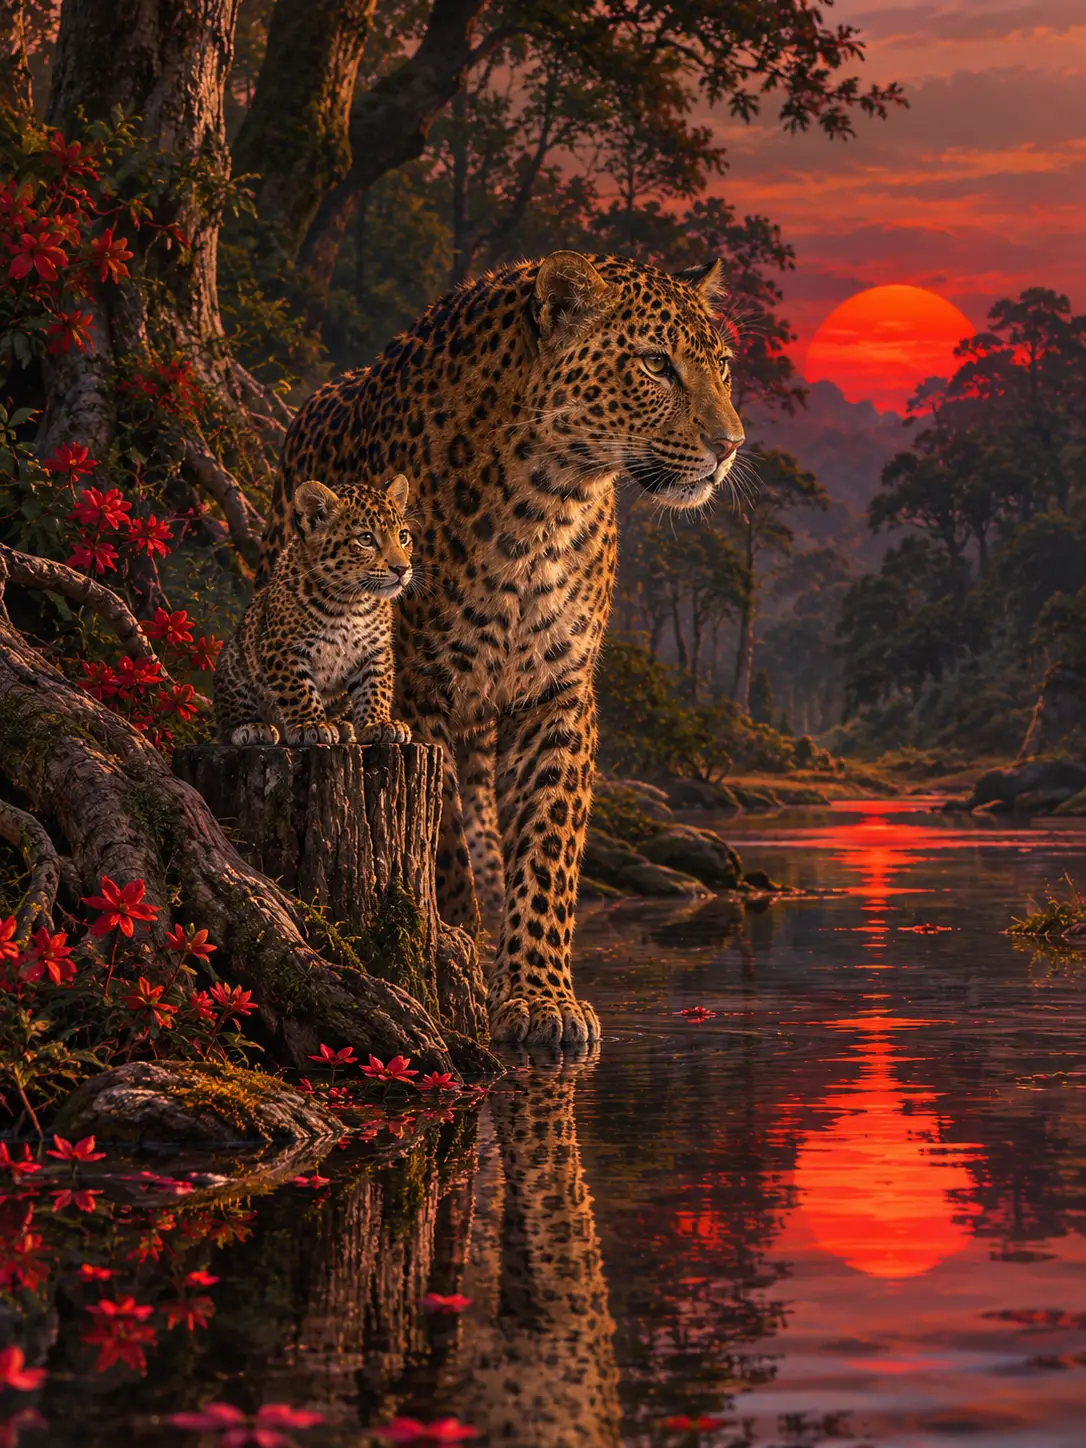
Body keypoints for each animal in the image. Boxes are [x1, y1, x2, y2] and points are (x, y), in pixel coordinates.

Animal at [216, 475, 414, 747]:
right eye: (365, 539)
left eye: (403, 536)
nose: (402, 569)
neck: (350, 602)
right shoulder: (282, 648)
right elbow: (298, 690)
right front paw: (311, 725)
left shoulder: (376, 651)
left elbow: (376, 687)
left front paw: (378, 723)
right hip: (234, 662)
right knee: (229, 721)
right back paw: (253, 728)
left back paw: (341, 726)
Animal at [259, 250, 745, 1049]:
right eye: (656, 364)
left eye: (724, 368)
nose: (729, 446)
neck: (546, 504)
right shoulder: (419, 691)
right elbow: (444, 843)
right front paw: (457, 948)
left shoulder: (558, 692)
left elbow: (548, 849)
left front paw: (543, 998)